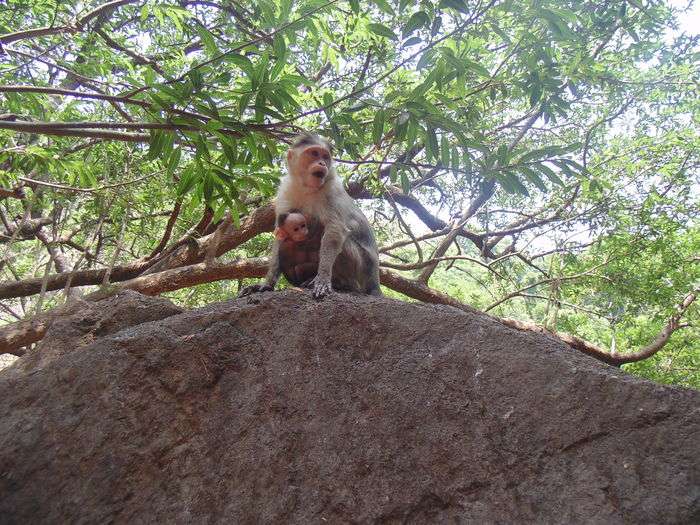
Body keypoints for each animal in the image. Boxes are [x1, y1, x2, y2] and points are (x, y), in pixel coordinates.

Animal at [241, 134, 382, 298]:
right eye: (314, 153)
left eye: (325, 156)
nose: (322, 163)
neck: (307, 188)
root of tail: (374, 282)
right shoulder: (284, 192)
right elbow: (280, 234)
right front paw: (266, 284)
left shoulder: (332, 190)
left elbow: (335, 231)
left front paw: (322, 278)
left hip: (361, 269)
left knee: (341, 241)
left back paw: (342, 283)